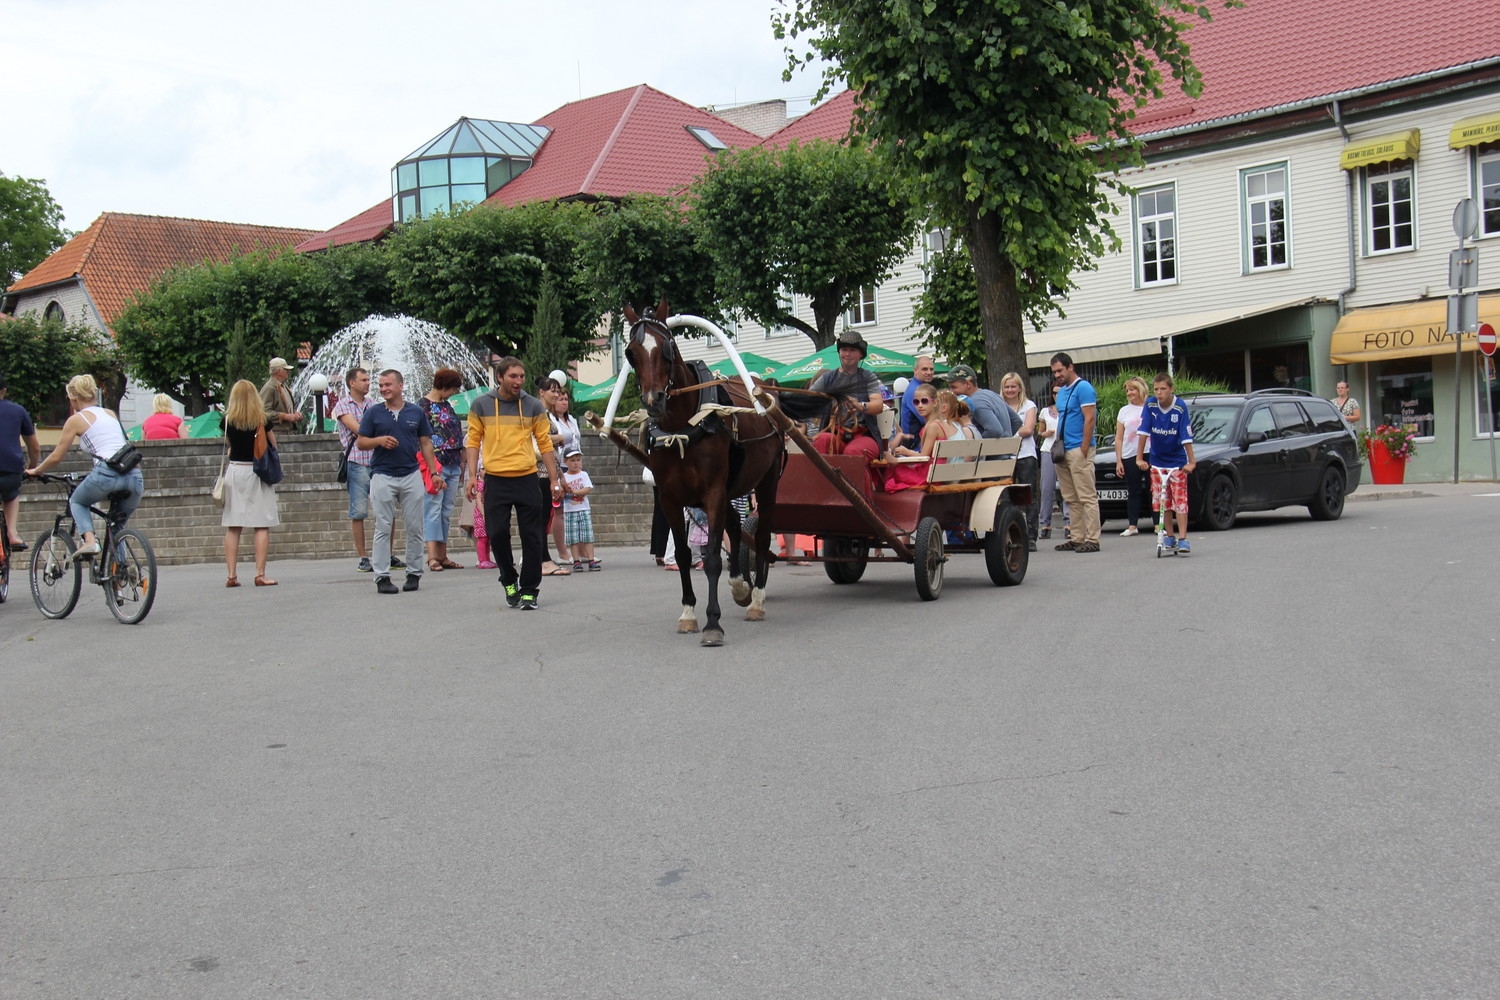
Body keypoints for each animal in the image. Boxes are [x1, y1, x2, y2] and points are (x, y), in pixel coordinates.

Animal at [621, 301, 786, 644]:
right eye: (631, 352)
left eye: (667, 347)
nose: (654, 400)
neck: (681, 429)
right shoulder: (671, 498)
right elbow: (685, 554)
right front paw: (688, 613)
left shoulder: (712, 493)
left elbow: (710, 557)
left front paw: (712, 623)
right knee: (735, 527)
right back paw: (740, 585)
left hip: (766, 482)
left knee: (761, 536)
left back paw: (757, 599)